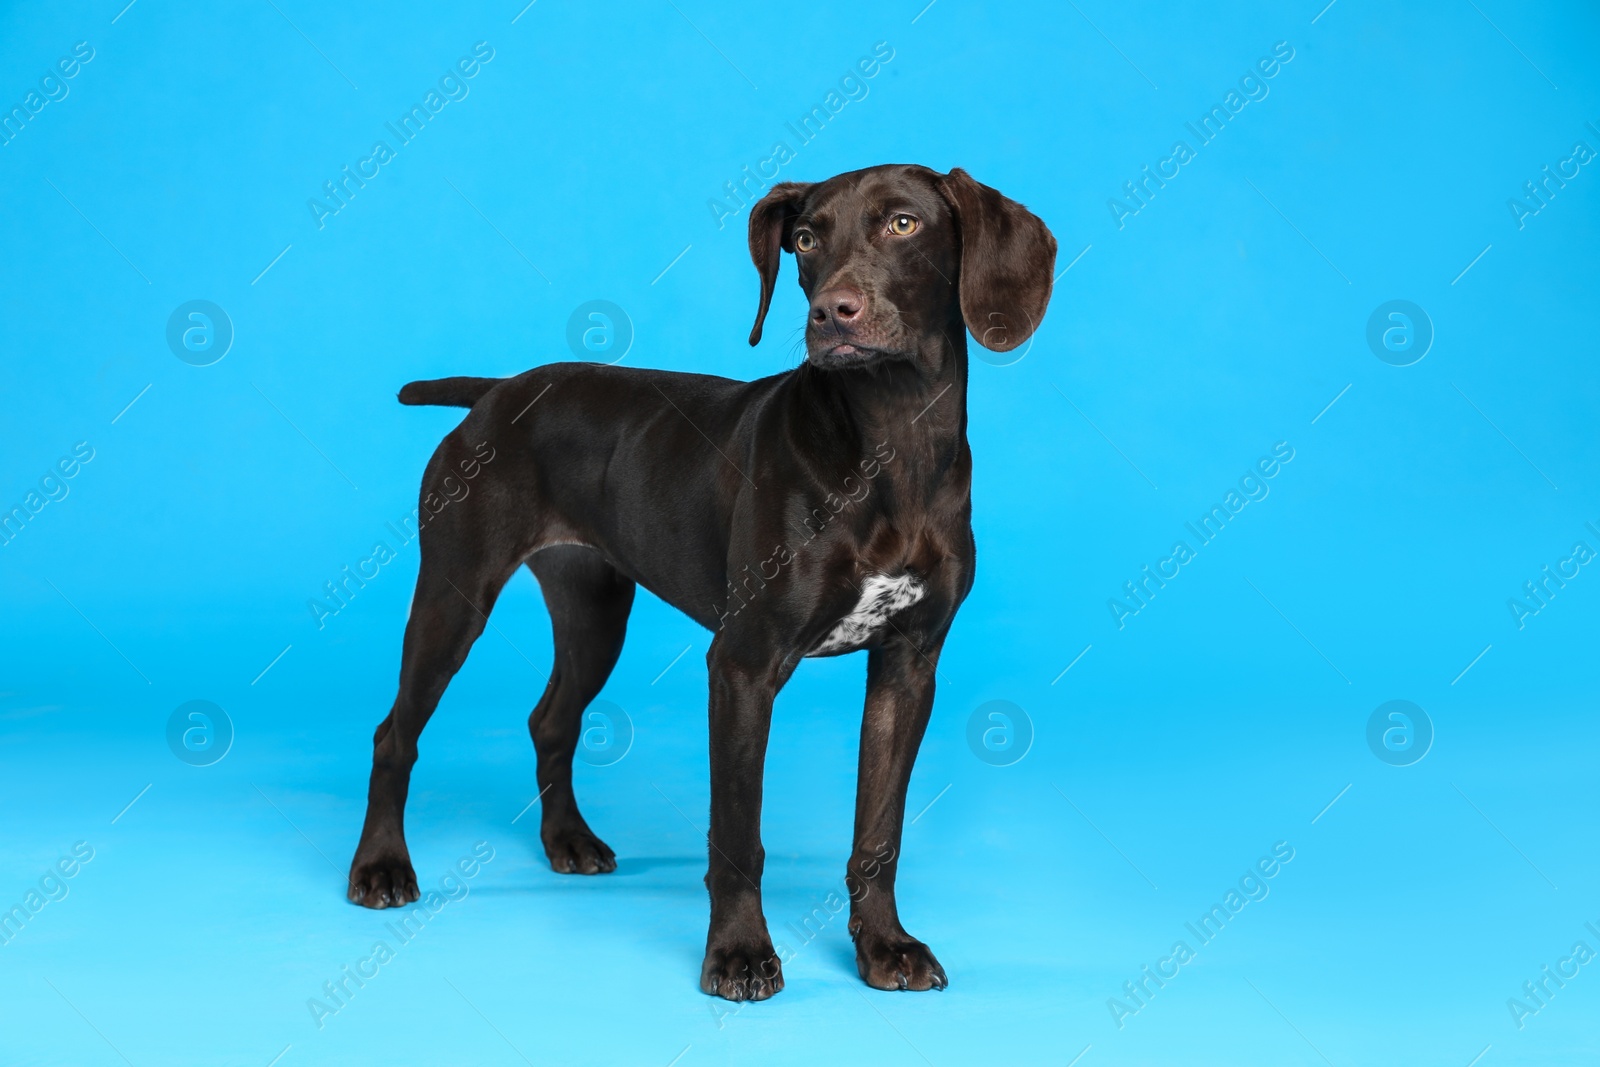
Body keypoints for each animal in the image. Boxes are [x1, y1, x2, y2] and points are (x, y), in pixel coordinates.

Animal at [344, 160, 1056, 1004]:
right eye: (805, 239)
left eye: (903, 224)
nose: (832, 312)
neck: (893, 440)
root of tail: (499, 391)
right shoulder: (744, 666)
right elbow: (739, 833)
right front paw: (740, 953)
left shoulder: (908, 667)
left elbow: (879, 831)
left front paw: (884, 944)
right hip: (454, 594)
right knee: (395, 732)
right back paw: (380, 866)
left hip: (594, 610)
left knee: (551, 719)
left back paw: (568, 839)